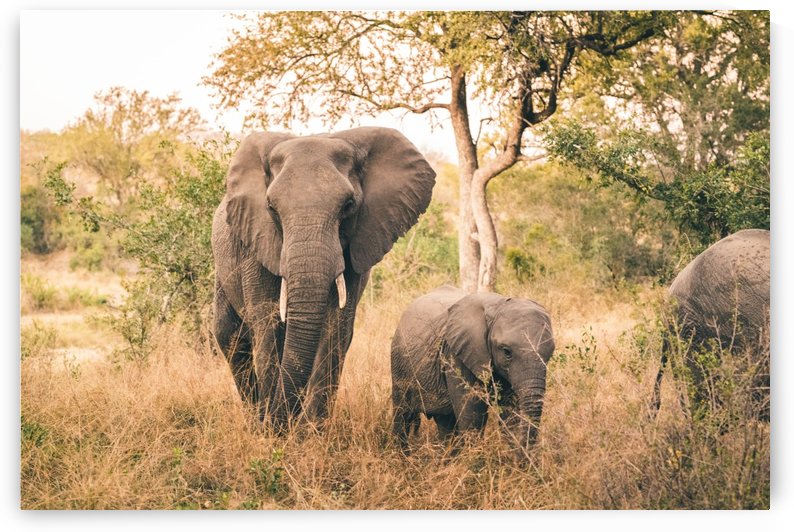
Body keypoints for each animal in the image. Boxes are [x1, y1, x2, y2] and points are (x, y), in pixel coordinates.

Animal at [212, 127, 435, 429]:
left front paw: (310, 431)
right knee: (229, 336)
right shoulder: (255, 243)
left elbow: (336, 327)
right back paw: (256, 417)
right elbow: (267, 324)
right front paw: (272, 430)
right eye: (271, 207)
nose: (283, 420)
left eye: (348, 205)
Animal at [391, 285, 555, 455]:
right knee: (402, 413)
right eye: (506, 352)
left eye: (550, 353)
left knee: (445, 421)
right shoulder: (457, 354)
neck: (498, 305)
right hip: (399, 362)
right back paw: (403, 456)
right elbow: (473, 416)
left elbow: (511, 414)